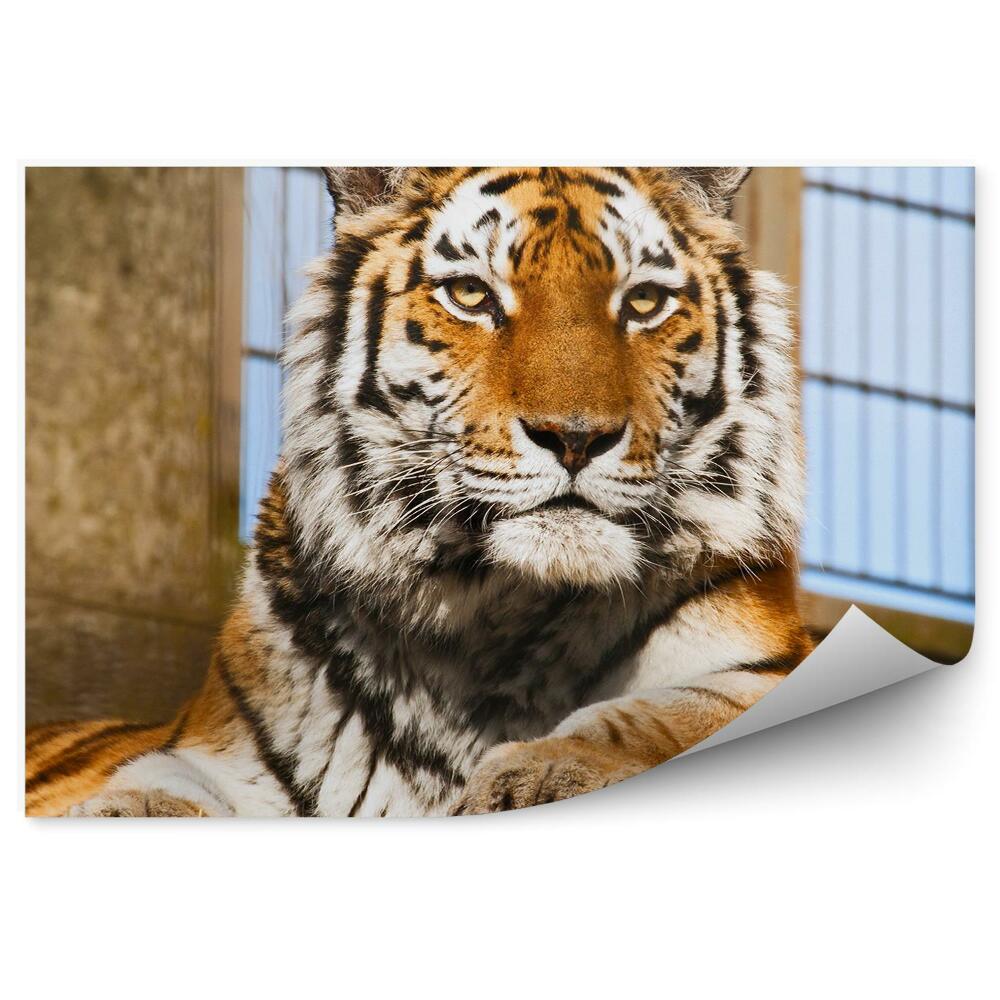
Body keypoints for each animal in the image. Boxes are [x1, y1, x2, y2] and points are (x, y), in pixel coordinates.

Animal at [26, 166, 813, 817]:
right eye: (471, 295)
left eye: (644, 301)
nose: (575, 437)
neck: (495, 614)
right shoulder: (217, 750)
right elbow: (152, 791)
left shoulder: (757, 661)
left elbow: (655, 716)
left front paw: (539, 773)